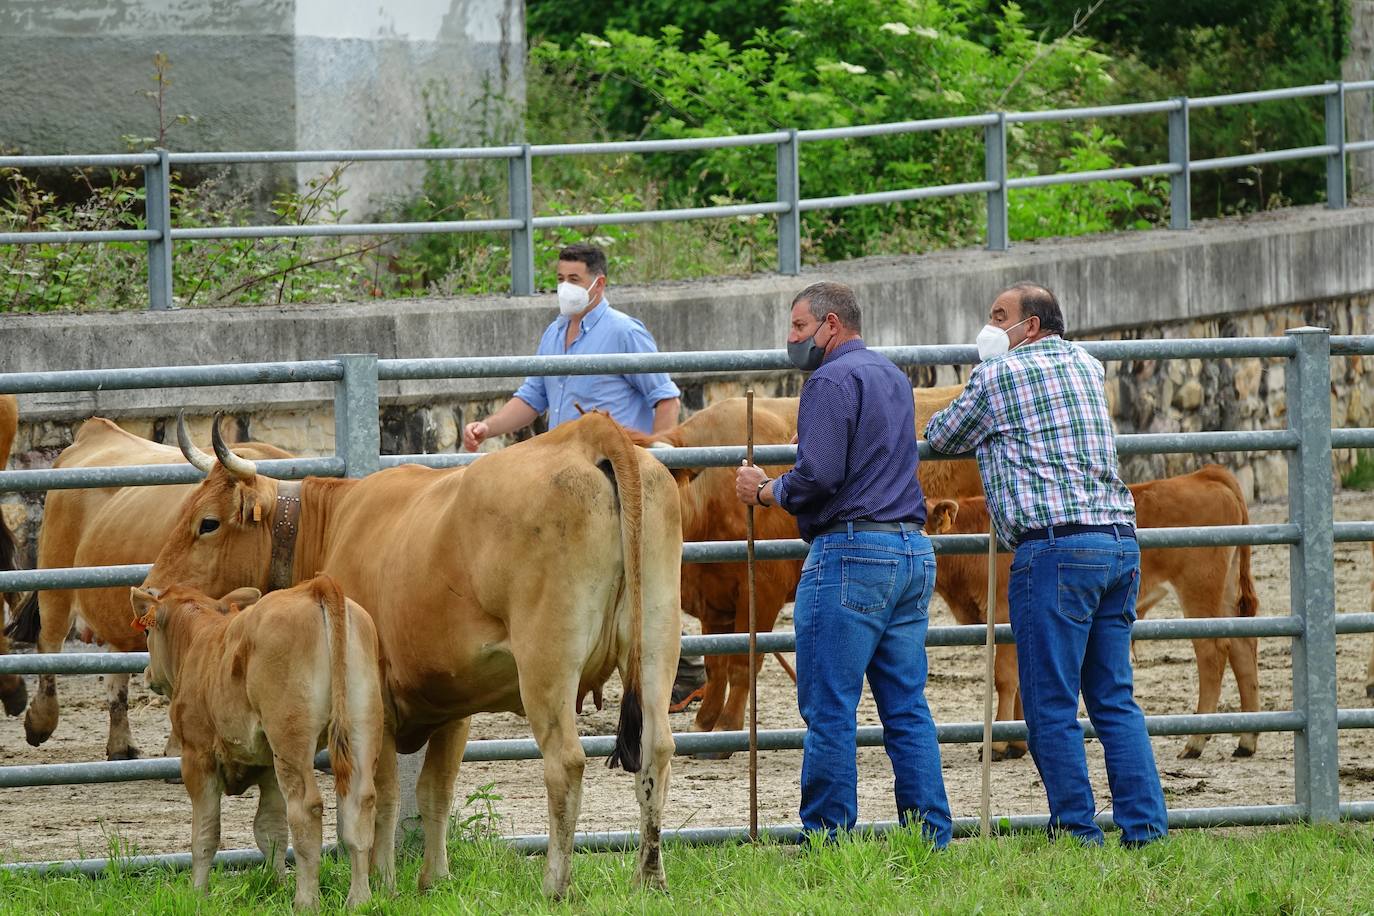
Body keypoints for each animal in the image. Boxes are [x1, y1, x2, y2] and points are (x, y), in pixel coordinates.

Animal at [12, 417, 292, 758]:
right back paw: (41, 720)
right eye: (206, 523)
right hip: (56, 582)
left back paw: (121, 744)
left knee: (115, 678)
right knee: (48, 646)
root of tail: (94, 431)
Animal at [131, 576, 384, 911]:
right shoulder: (268, 766)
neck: (201, 642)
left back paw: (306, 902)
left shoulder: (197, 756)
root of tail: (314, 587)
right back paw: (360, 901)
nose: (147, 673)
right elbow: (270, 829)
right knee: (360, 806)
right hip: (360, 725)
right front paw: (276, 885)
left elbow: (205, 833)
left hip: (291, 738)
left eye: (147, 632)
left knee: (305, 811)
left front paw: (198, 893)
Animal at [629, 384, 983, 747]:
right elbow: (716, 664)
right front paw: (704, 726)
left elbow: (742, 662)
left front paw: (727, 728)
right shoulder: (714, 600)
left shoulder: (763, 590)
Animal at [928, 466, 1258, 758]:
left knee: (1213, 652)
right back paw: (1246, 740)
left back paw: (1196, 741)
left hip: (1199, 591)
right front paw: (1018, 744)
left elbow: (1005, 678)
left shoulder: (1004, 615)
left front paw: (997, 745)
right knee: (1242, 647)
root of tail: (1206, 475)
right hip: (1226, 592)